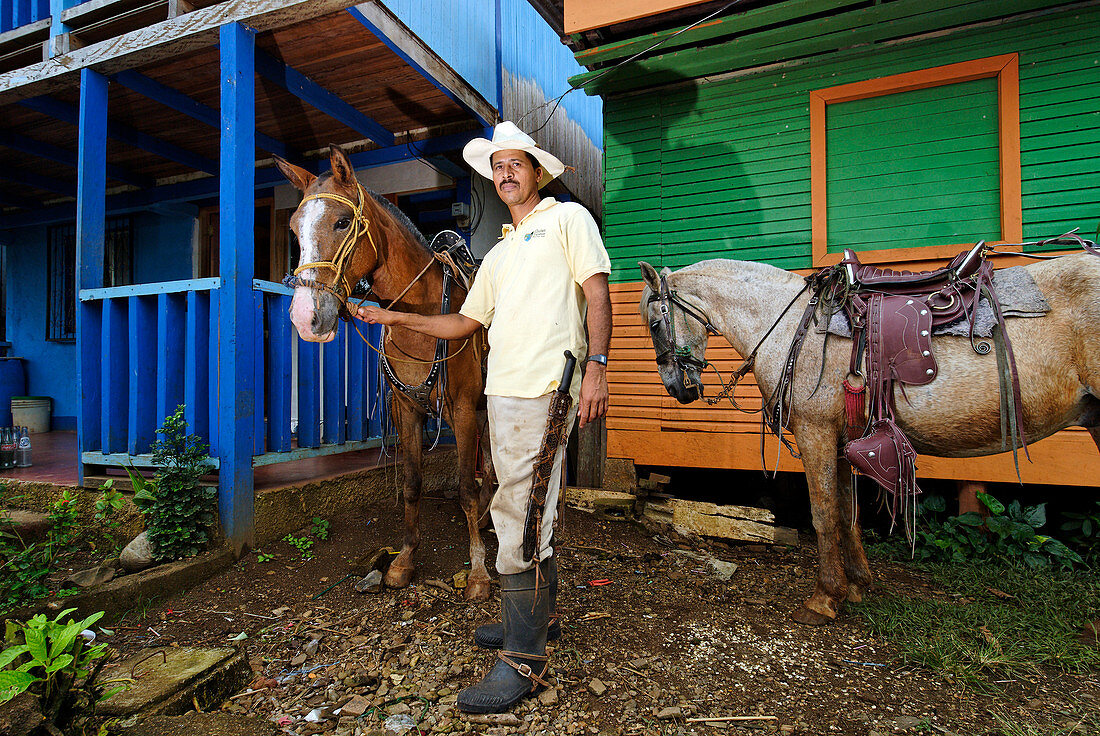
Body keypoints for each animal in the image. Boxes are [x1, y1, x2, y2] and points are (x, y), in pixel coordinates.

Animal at [277, 146, 492, 598]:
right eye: (293, 229)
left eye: (342, 222)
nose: (306, 318)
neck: (423, 318)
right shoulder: (406, 409)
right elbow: (411, 484)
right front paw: (405, 561)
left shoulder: (462, 409)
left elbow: (465, 487)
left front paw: (479, 572)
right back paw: (487, 517)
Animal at [638, 255, 1100, 624]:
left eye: (657, 322)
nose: (678, 388)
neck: (789, 325)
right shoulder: (844, 441)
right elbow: (847, 513)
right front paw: (857, 585)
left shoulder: (815, 433)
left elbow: (823, 514)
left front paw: (824, 598)